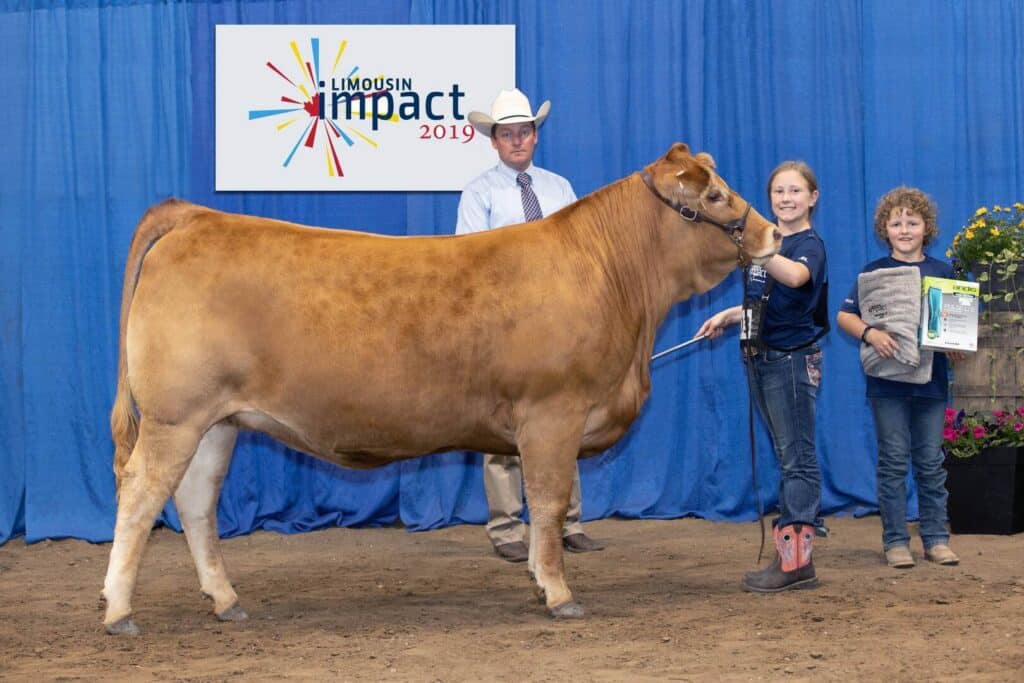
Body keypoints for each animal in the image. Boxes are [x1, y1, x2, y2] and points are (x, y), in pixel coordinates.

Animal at [102, 142, 781, 635]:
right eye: (715, 194)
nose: (773, 234)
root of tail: (196, 217)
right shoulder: (552, 413)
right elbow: (549, 503)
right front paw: (558, 591)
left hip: (217, 422)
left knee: (195, 504)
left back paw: (225, 599)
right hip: (176, 416)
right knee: (140, 495)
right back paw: (118, 610)